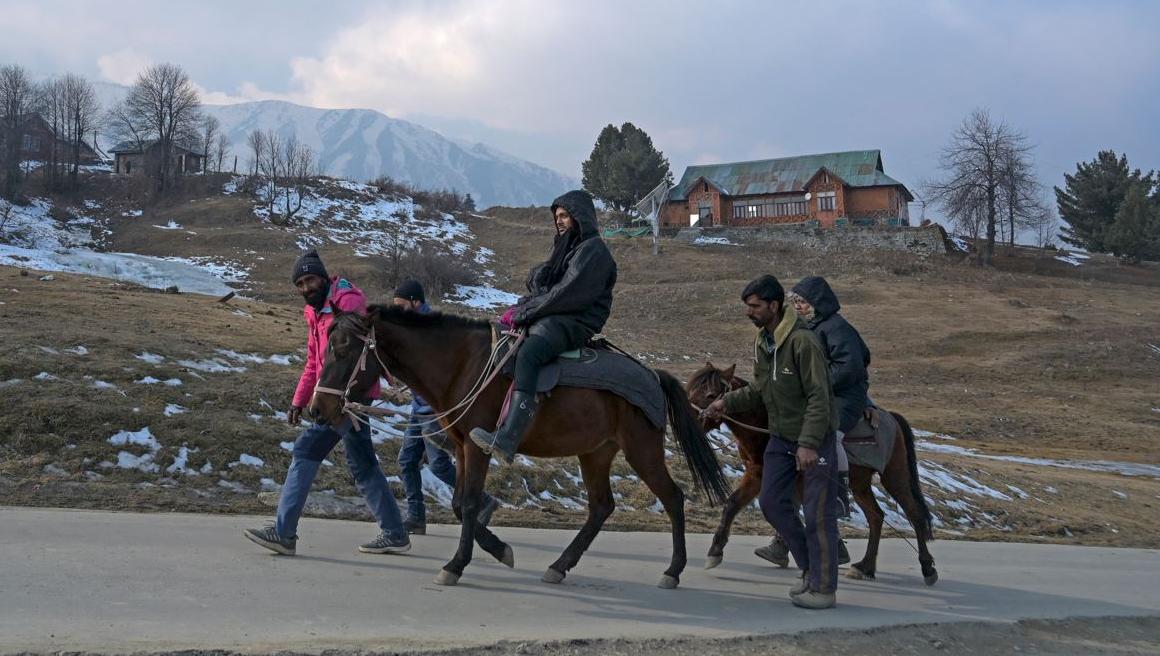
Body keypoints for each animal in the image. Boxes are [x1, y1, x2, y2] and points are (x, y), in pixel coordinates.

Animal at [308, 308, 723, 591]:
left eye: (343, 351)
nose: (317, 409)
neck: (463, 365)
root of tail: (654, 375)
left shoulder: (479, 449)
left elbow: (469, 503)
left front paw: (456, 565)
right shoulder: (462, 447)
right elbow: (459, 503)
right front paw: (499, 549)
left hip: (641, 449)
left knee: (673, 498)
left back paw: (673, 570)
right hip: (596, 452)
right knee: (601, 507)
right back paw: (560, 565)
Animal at [682, 366, 937, 586]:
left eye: (710, 394)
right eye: (690, 390)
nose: (687, 420)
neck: (767, 422)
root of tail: (892, 417)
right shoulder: (757, 474)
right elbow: (734, 504)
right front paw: (716, 552)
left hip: (894, 476)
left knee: (914, 513)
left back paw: (927, 568)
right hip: (860, 483)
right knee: (876, 516)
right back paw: (865, 567)